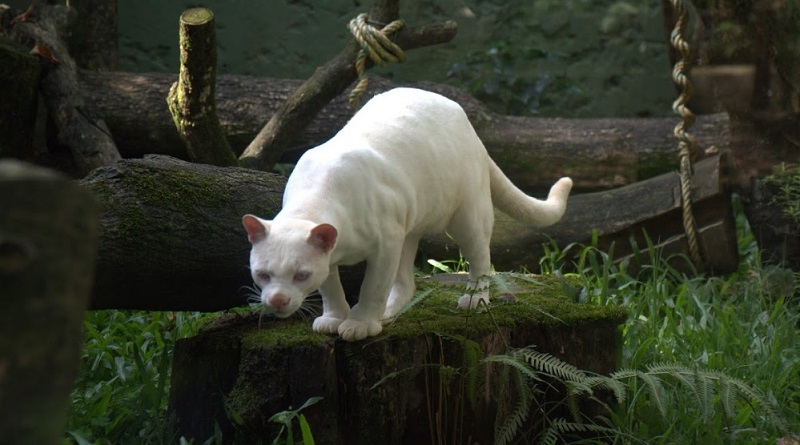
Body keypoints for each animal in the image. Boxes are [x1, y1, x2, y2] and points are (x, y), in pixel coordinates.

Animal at [241, 88, 572, 342]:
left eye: (301, 275)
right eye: (263, 274)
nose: (278, 300)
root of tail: (468, 124)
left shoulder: (385, 245)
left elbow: (372, 287)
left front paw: (360, 324)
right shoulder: (350, 253)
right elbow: (330, 288)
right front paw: (335, 318)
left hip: (467, 218)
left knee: (481, 260)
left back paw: (474, 299)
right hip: (409, 228)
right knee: (406, 282)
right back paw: (389, 313)